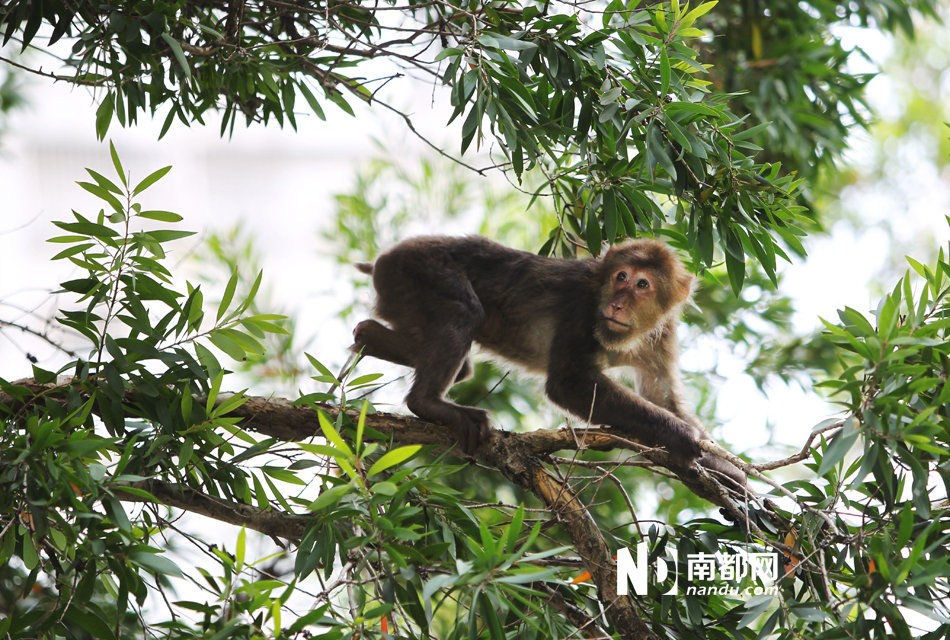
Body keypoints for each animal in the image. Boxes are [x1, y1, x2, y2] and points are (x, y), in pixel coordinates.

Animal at [350, 238, 744, 488]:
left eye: (642, 284)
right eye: (621, 277)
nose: (617, 304)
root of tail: (384, 260)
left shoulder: (662, 336)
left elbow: (663, 398)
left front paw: (732, 476)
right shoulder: (581, 305)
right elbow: (568, 383)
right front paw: (683, 436)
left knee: (459, 364)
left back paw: (368, 335)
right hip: (415, 270)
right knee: (464, 310)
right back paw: (429, 402)